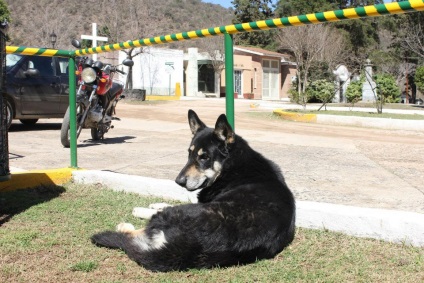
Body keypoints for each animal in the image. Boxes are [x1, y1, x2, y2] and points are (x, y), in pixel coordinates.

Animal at [90, 109, 294, 272]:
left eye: (204, 157)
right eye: (189, 154)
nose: (178, 181)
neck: (232, 165)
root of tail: (188, 246)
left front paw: (145, 208)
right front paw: (157, 202)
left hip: (178, 214)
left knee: (139, 231)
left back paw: (126, 225)